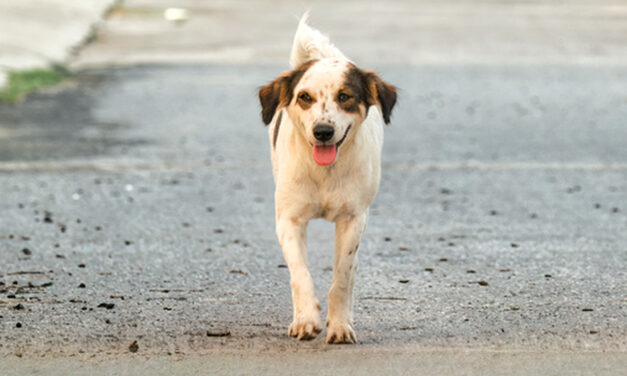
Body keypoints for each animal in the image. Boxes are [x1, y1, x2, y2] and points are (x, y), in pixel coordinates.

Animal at [256, 13, 394, 344]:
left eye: (344, 97)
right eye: (304, 97)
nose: (322, 131)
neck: (324, 172)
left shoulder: (353, 219)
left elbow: (342, 276)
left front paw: (340, 324)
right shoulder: (289, 220)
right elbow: (300, 273)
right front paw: (306, 318)